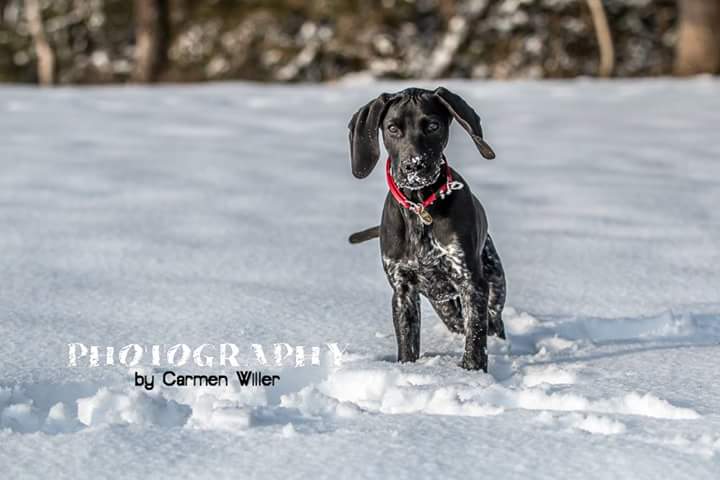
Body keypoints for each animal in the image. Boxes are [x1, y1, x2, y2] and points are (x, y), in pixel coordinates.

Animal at [348, 87, 506, 372]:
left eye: (433, 126)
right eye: (392, 128)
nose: (414, 165)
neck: (420, 207)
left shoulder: (472, 284)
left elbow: (476, 340)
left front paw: (472, 374)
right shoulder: (403, 292)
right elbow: (407, 344)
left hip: (495, 286)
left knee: (492, 323)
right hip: (443, 303)